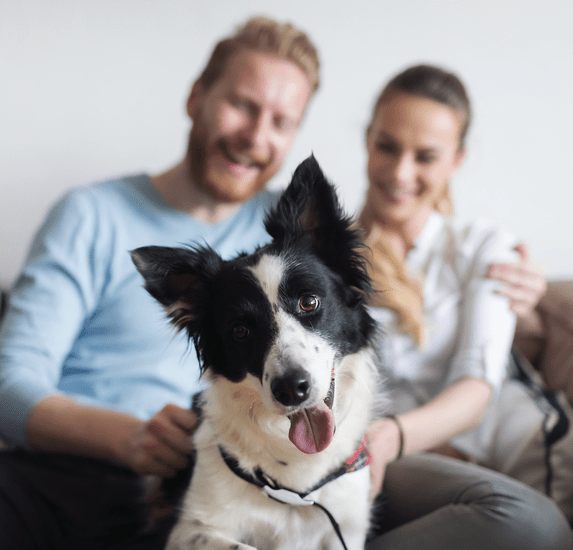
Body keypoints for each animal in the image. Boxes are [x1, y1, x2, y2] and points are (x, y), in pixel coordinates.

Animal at [131, 156, 382, 550]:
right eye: (240, 331)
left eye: (309, 302)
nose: (291, 388)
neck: (298, 487)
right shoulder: (191, 528)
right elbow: (243, 545)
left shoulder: (347, 528)